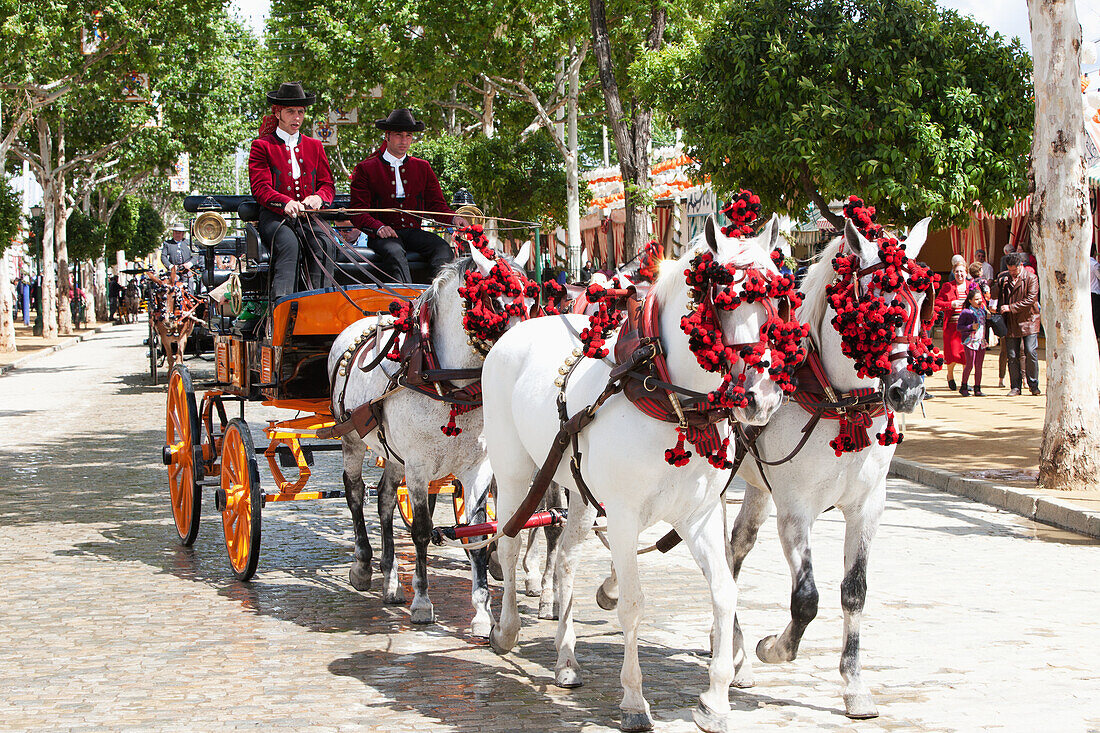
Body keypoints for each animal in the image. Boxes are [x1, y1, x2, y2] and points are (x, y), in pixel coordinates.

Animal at [325, 241, 532, 633]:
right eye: (496, 302)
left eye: (532, 298)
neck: (446, 380)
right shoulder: (419, 467)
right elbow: (421, 530)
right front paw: (422, 602)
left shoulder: (477, 467)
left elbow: (476, 532)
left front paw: (482, 613)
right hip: (353, 441)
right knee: (356, 492)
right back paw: (363, 566)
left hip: (393, 454)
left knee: (385, 499)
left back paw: (391, 581)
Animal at [481, 216, 792, 730]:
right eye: (719, 295)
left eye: (779, 300)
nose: (760, 398)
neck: (669, 400)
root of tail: (519, 329)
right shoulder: (625, 517)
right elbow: (631, 604)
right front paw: (633, 699)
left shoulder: (699, 517)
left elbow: (724, 594)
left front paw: (716, 699)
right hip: (513, 473)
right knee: (507, 541)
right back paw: (505, 629)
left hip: (580, 491)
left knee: (566, 559)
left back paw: (566, 660)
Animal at [726, 215, 932, 713]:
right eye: (875, 306)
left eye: (920, 301)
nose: (908, 389)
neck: (839, 402)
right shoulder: (795, 511)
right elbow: (806, 599)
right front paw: (774, 648)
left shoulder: (867, 507)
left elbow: (854, 592)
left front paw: (854, 684)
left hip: (756, 486)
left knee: (733, 549)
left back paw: (734, 655)